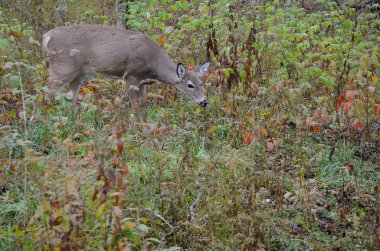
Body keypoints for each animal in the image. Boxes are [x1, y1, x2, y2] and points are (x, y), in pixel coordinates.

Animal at [43, 24, 212, 113]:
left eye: (201, 83)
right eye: (190, 85)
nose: (204, 102)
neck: (154, 63)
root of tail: (46, 37)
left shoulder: (143, 82)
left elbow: (143, 107)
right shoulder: (131, 76)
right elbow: (135, 107)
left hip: (78, 74)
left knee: (69, 98)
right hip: (62, 67)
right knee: (47, 91)